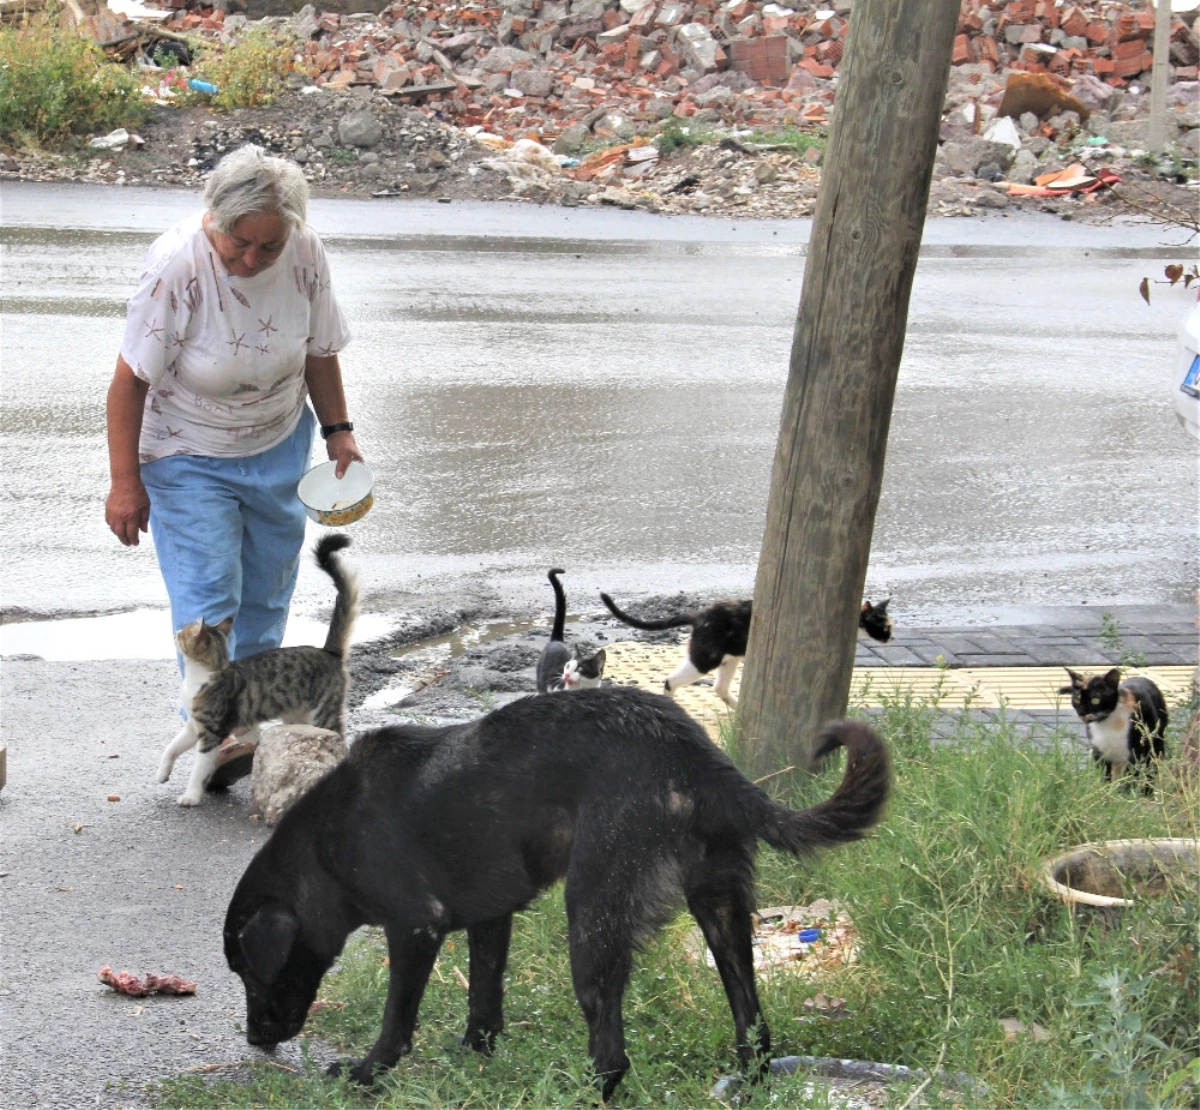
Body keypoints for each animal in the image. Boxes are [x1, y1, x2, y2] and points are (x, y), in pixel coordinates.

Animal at [153, 530, 355, 806]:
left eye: (183, 633)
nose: (175, 632)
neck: (201, 676)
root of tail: (328, 651)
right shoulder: (194, 726)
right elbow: (172, 746)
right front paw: (162, 772)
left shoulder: (211, 733)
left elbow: (198, 768)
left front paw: (191, 796)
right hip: (297, 717)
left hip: (323, 713)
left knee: (340, 741)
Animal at [223, 686, 892, 1089]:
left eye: (250, 972)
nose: (254, 1040)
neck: (325, 845)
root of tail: (692, 752)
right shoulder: (490, 919)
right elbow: (484, 1002)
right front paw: (474, 1058)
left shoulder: (415, 927)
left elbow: (396, 1020)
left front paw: (368, 1073)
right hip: (722, 912)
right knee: (753, 1026)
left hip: (591, 921)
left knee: (612, 1054)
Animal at [597, 592, 892, 705]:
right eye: (884, 626)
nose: (890, 638)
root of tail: (699, 614)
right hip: (706, 659)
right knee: (670, 680)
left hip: (730, 660)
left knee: (719, 688)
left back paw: (737, 707)